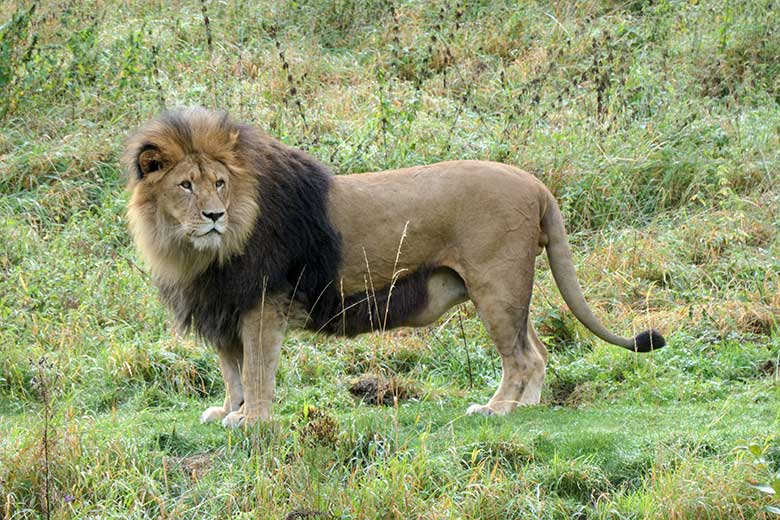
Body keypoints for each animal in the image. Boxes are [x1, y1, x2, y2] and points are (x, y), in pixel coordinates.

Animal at [122, 108, 664, 426]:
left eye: (218, 183)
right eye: (186, 185)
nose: (214, 216)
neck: (199, 252)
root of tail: (535, 184)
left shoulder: (260, 304)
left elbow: (256, 371)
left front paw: (251, 420)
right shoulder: (222, 310)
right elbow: (232, 371)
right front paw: (227, 411)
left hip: (496, 284)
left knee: (522, 358)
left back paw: (494, 410)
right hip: (509, 290)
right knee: (537, 350)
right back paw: (524, 409)